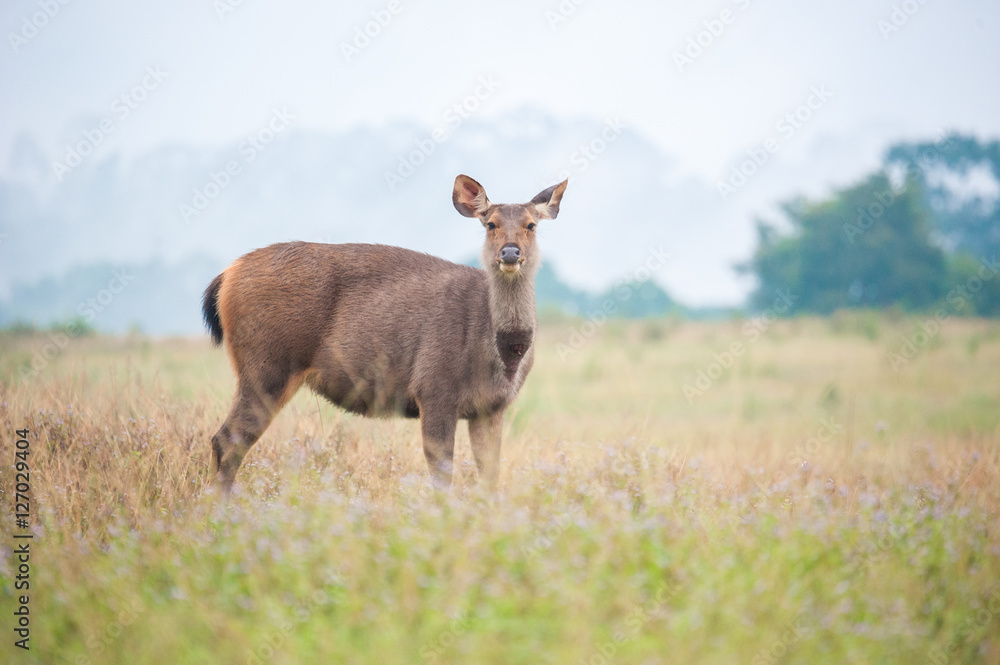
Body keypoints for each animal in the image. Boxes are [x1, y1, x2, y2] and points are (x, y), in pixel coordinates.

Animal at [202, 174, 568, 494]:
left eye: (531, 225)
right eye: (490, 224)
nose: (510, 252)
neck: (502, 354)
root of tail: (227, 274)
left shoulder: (491, 408)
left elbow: (490, 476)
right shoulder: (434, 389)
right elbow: (442, 476)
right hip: (267, 366)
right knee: (227, 440)